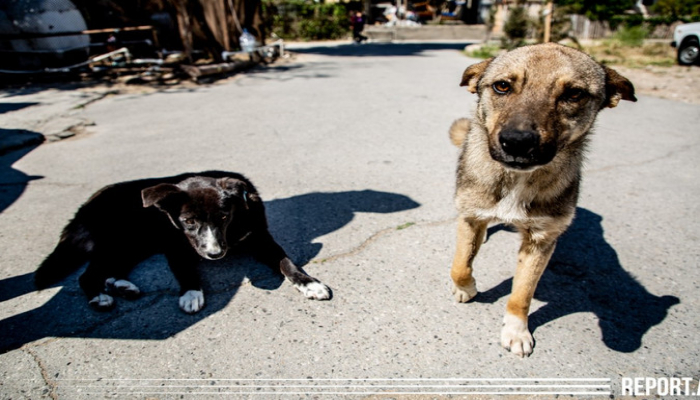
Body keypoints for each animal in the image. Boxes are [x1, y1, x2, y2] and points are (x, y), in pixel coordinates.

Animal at [37, 170, 332, 312]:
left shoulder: (261, 238)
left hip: (135, 243)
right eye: (188, 221)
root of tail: (85, 205)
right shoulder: (175, 245)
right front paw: (191, 293)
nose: (215, 254)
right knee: (86, 275)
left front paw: (309, 283)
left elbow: (287, 262)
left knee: (112, 268)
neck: (233, 229)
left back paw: (122, 286)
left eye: (223, 216)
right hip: (119, 239)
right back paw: (100, 296)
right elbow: (185, 269)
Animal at [452, 43, 636, 356]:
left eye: (574, 94)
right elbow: (461, 265)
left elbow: (522, 293)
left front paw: (516, 331)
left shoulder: (541, 241)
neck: (516, 179)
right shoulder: (470, 215)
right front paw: (467, 288)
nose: (517, 142)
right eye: (502, 86)